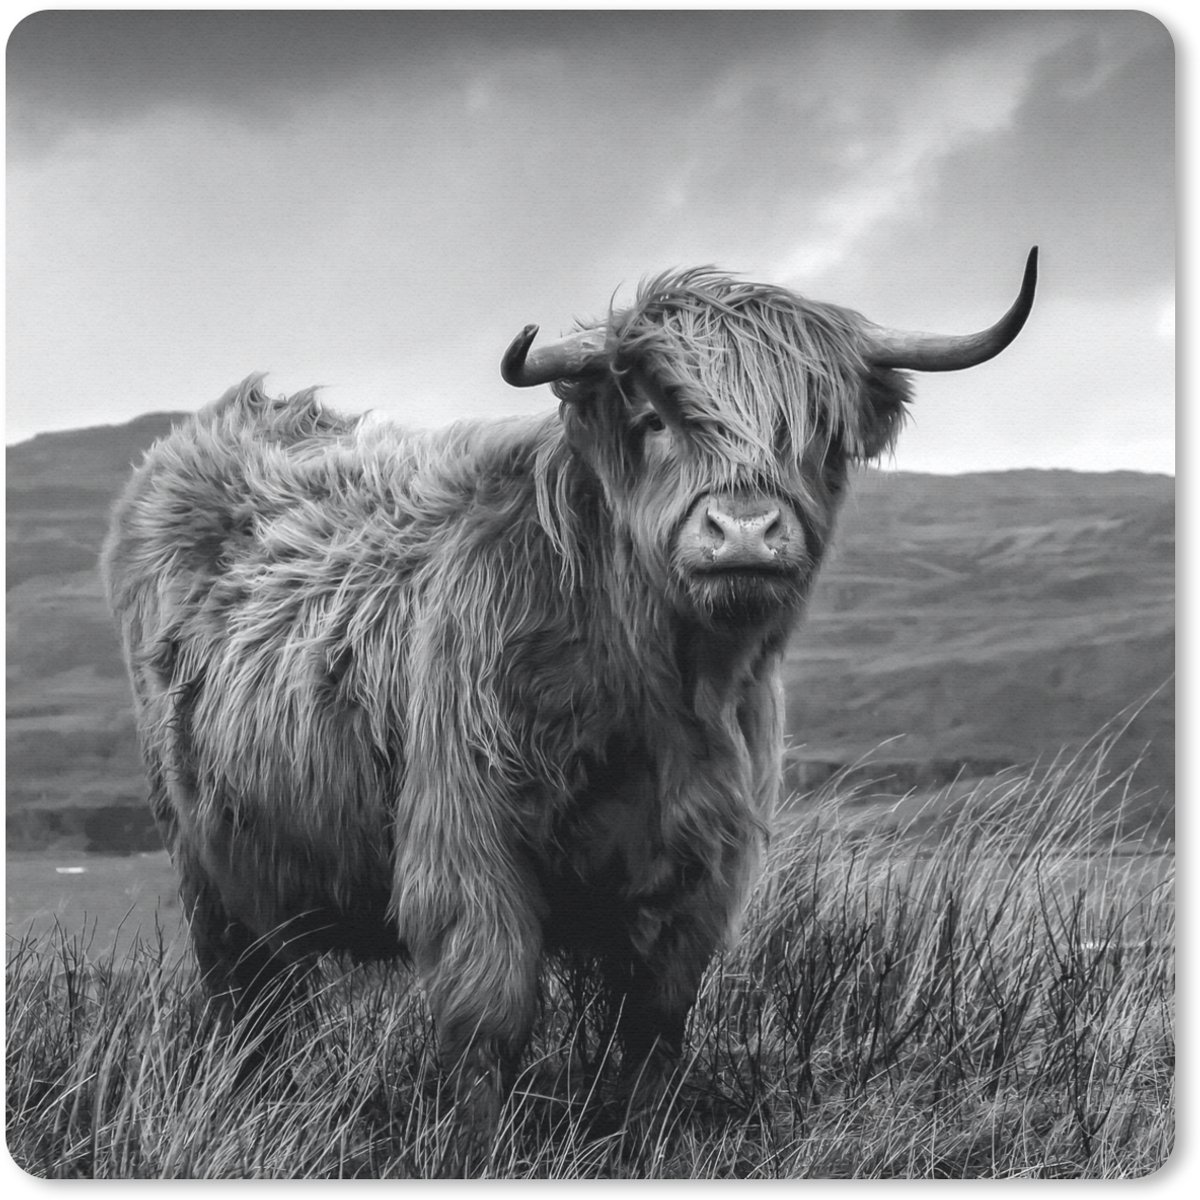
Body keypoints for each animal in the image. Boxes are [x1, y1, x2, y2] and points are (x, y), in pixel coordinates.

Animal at [101, 249, 1037, 1150]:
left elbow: (654, 1031)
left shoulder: (699, 874)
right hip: (206, 865)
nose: (743, 531)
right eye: (655, 418)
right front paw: (480, 1155)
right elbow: (489, 1024)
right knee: (244, 1002)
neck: (657, 694)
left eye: (817, 432)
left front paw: (639, 1145)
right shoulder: (467, 848)